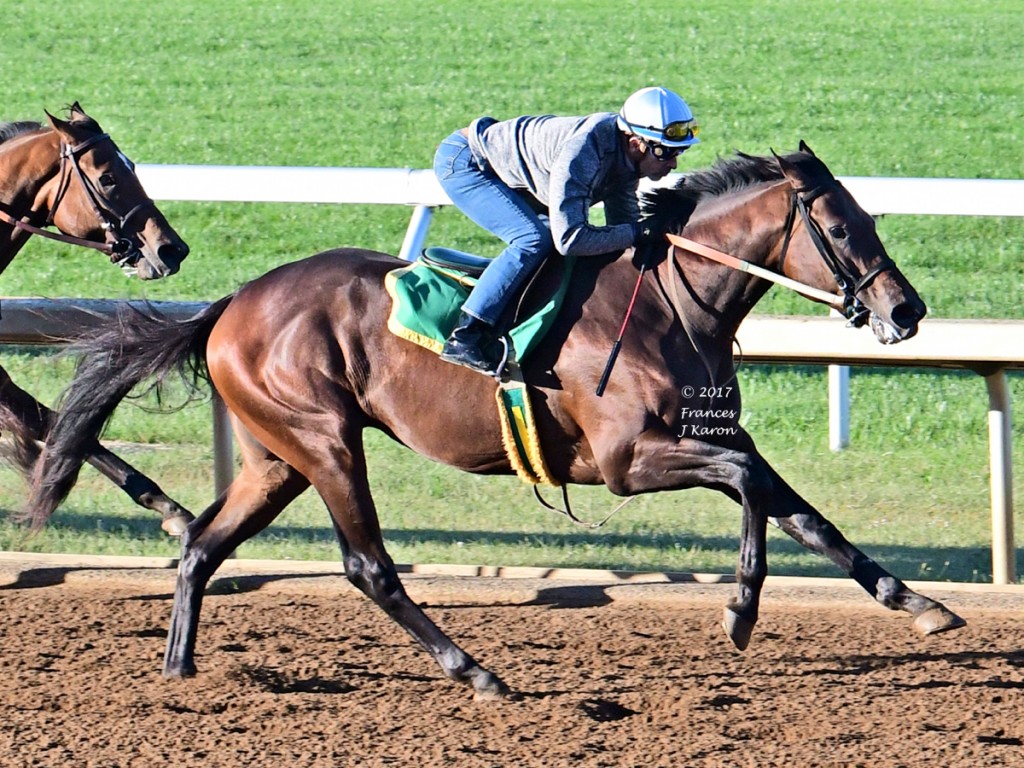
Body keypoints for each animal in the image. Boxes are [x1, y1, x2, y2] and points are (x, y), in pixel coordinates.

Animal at [25, 141, 966, 700]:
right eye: (840, 224)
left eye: (871, 216)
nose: (907, 311)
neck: (667, 302)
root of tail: (229, 305)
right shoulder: (627, 461)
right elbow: (750, 491)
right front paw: (738, 611)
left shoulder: (715, 433)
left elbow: (796, 506)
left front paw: (918, 603)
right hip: (325, 441)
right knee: (368, 567)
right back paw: (475, 670)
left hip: (275, 458)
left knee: (202, 544)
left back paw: (181, 669)